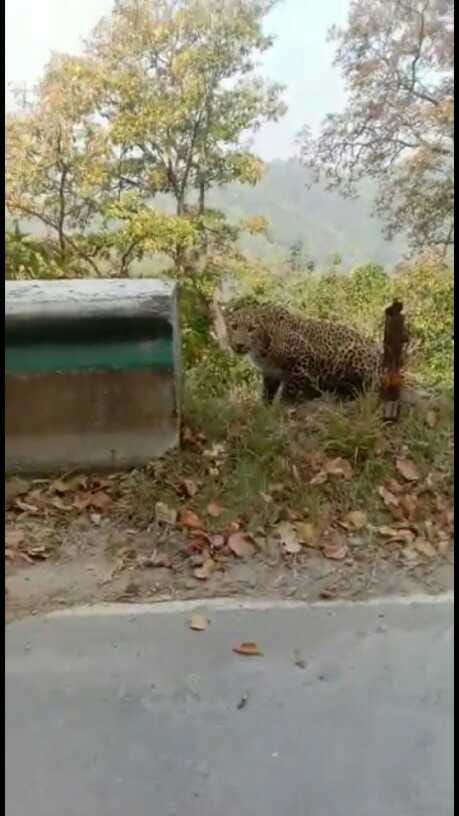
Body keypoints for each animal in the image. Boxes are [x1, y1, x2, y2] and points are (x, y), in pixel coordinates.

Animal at [224, 302, 383, 403]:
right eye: (234, 326)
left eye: (252, 329)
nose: (239, 345)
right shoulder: (270, 372)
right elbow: (267, 393)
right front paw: (264, 409)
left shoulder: (302, 357)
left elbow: (290, 389)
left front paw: (282, 407)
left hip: (350, 351)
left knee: (370, 385)